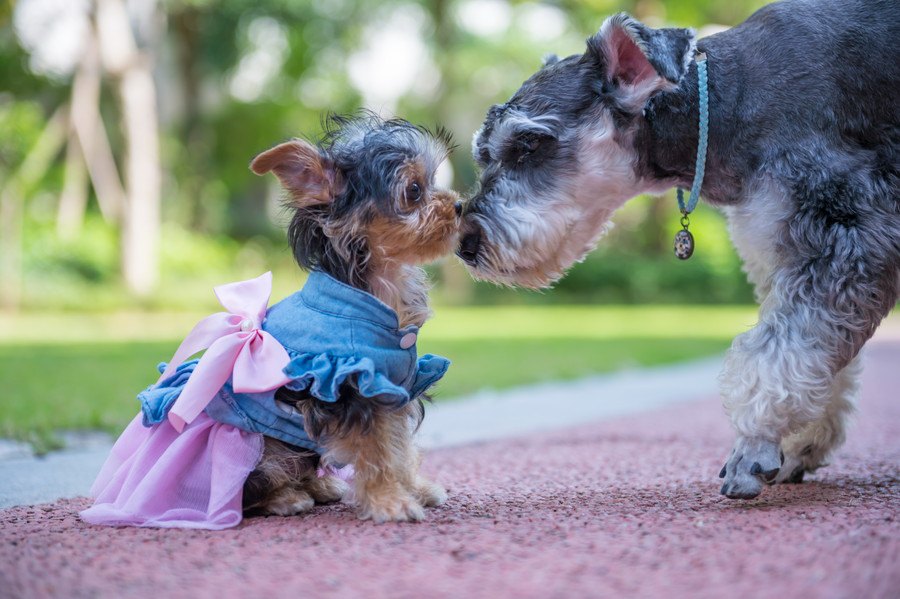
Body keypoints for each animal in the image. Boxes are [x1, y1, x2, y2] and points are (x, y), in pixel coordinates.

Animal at [460, 0, 896, 500]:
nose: (465, 243)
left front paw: (755, 444)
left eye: (528, 144)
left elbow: (779, 352)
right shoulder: (785, 249)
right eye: (483, 154)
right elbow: (817, 354)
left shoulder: (851, 231)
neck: (725, 104)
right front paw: (798, 443)